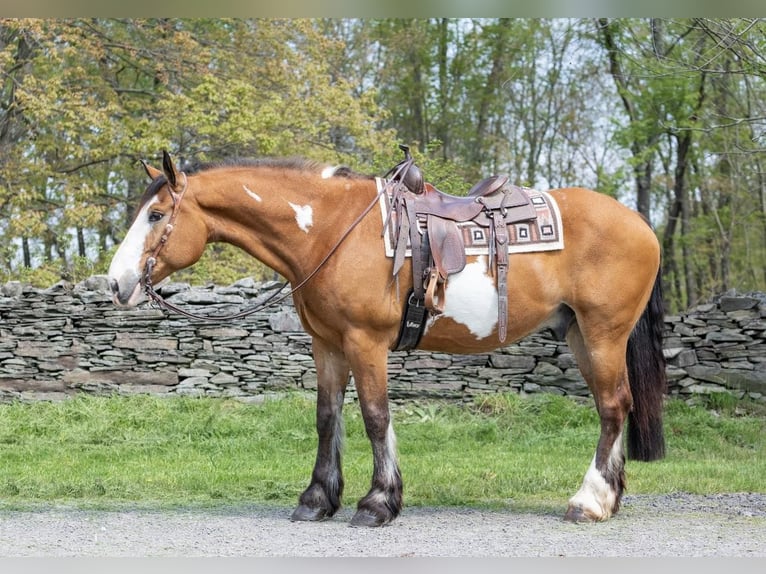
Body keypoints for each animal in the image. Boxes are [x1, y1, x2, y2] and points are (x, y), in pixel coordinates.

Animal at [108, 151, 664, 528]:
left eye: (156, 215)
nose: (116, 283)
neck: (330, 230)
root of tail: (641, 223)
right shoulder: (327, 345)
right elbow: (327, 418)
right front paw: (317, 499)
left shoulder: (365, 342)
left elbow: (376, 417)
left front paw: (378, 503)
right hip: (579, 335)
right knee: (615, 406)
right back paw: (609, 498)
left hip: (603, 333)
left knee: (613, 408)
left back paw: (588, 501)